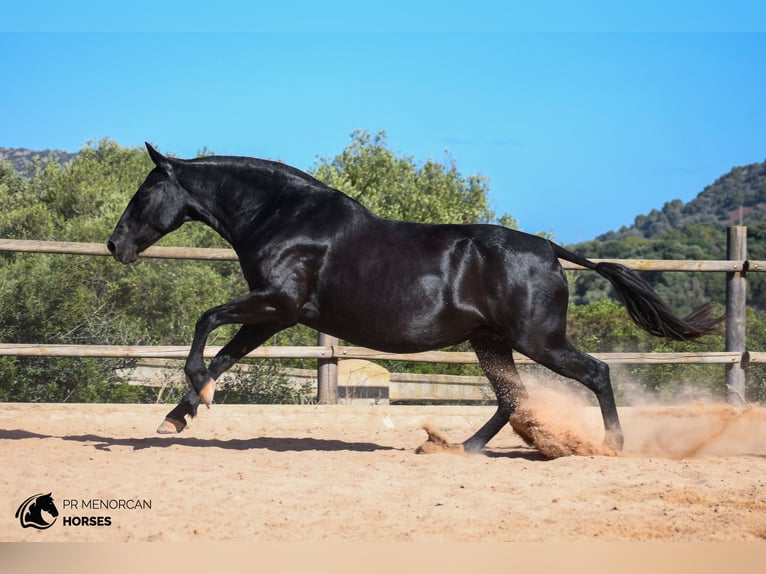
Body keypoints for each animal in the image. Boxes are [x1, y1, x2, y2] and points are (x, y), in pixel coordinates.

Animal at [106, 144, 720, 454]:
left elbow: (205, 323)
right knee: (512, 399)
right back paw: (457, 448)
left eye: (144, 192)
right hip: (491, 341)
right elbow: (226, 356)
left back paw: (612, 446)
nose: (115, 245)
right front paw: (178, 417)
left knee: (596, 373)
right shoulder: (273, 315)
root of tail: (550, 250)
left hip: (538, 340)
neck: (284, 217)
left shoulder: (276, 304)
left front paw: (190, 404)